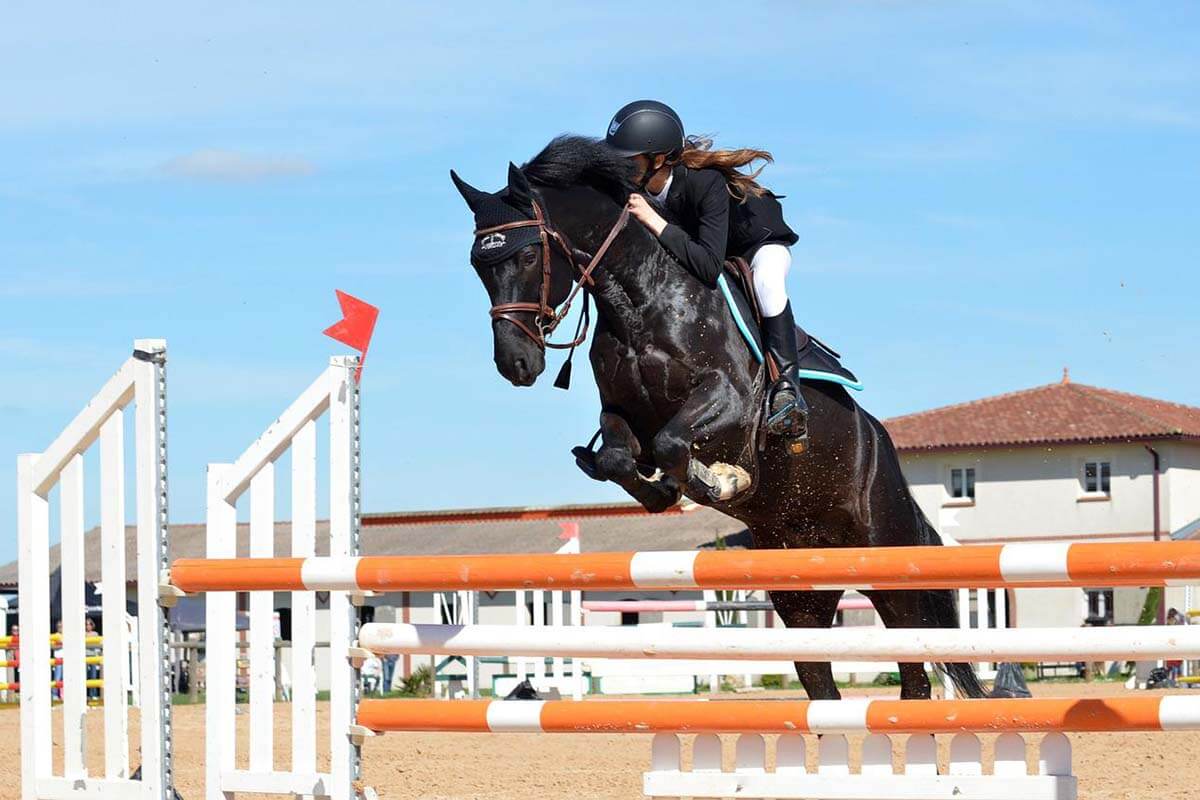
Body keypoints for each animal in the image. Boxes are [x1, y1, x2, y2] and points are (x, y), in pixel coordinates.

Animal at [451, 137, 984, 700]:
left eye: (530, 253)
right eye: (478, 266)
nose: (515, 364)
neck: (640, 298)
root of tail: (881, 443)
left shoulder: (730, 401)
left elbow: (674, 443)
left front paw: (722, 480)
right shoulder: (622, 414)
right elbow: (622, 458)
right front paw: (665, 491)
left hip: (887, 558)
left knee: (914, 670)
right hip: (800, 588)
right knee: (823, 681)